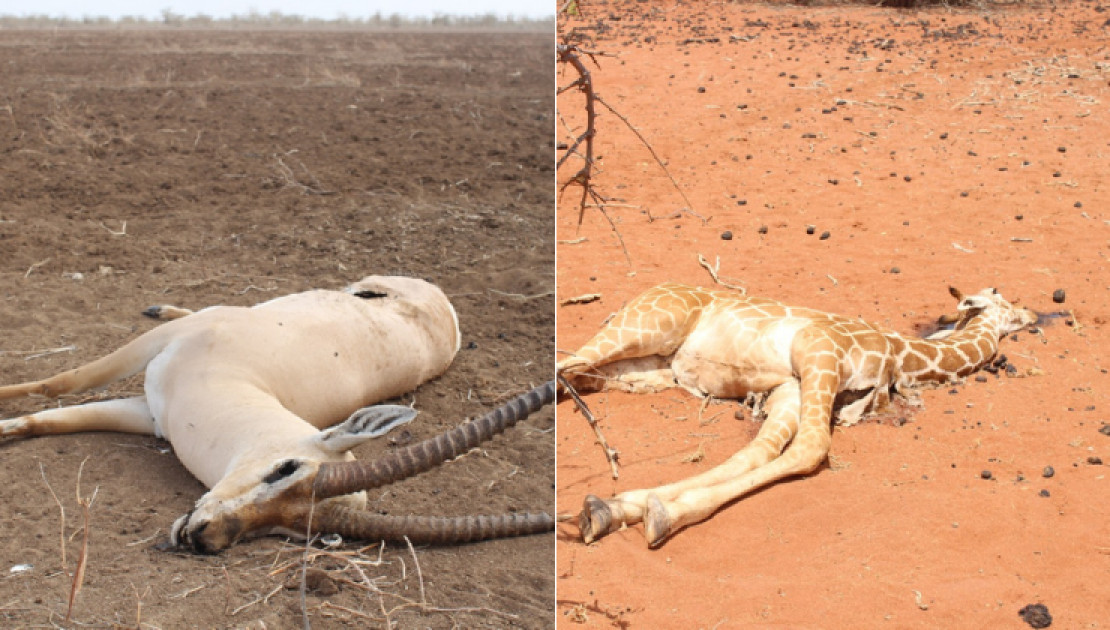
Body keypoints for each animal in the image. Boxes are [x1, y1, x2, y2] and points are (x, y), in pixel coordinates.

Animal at [0, 275, 555, 550]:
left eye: (290, 532)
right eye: (285, 468)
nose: (202, 537)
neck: (237, 377)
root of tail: (446, 307)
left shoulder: (149, 414)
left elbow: (50, 418)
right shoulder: (156, 352)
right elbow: (58, 383)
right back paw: (162, 305)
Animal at [559, 282, 1034, 547]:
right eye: (1003, 300)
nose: (1031, 315)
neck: (901, 355)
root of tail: (642, 293)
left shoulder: (790, 386)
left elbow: (756, 455)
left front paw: (620, 509)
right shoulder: (819, 353)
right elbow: (810, 447)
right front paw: (653, 513)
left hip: (641, 370)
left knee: (574, 375)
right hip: (646, 326)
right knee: (562, 363)